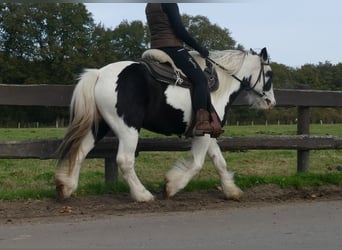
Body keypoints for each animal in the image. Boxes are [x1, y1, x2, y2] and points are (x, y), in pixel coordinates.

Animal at [55, 47, 276, 202]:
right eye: (269, 75)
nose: (271, 102)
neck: (219, 86)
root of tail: (99, 73)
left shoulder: (207, 132)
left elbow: (219, 161)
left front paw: (231, 191)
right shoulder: (203, 134)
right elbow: (197, 164)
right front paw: (172, 186)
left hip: (100, 125)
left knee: (81, 151)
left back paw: (66, 187)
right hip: (128, 129)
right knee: (124, 161)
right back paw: (142, 195)